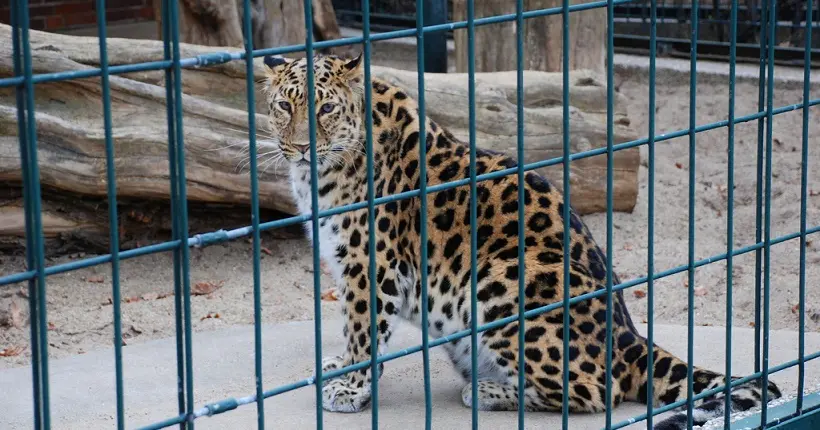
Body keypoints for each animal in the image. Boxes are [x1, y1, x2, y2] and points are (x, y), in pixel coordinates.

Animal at [260, 53, 780, 430]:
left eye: (327, 108)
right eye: (285, 106)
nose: (302, 147)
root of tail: (627, 337)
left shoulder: (373, 266)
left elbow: (364, 330)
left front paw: (351, 388)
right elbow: (352, 331)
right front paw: (340, 367)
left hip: (505, 277)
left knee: (597, 391)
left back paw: (487, 392)